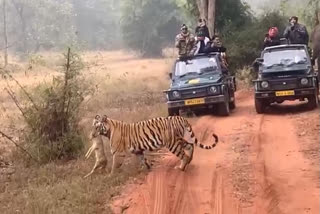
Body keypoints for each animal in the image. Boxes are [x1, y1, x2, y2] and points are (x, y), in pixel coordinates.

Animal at [84, 114, 220, 178]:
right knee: (190, 146)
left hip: (172, 143)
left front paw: (110, 176)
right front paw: (148, 169)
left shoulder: (118, 153)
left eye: (96, 127)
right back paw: (189, 161)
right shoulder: (138, 151)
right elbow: (144, 160)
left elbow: (114, 166)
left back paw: (181, 167)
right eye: (92, 126)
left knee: (183, 154)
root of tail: (181, 118)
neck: (108, 130)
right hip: (180, 139)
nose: (91, 135)